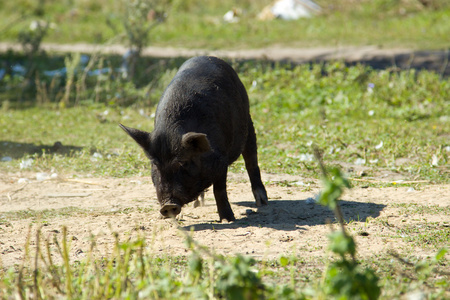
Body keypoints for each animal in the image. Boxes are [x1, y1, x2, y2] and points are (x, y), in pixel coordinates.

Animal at [119, 56, 268, 221]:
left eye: (183, 163)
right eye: (155, 164)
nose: (167, 205)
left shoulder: (220, 159)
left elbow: (219, 190)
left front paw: (227, 220)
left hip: (248, 122)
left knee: (251, 160)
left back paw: (262, 202)